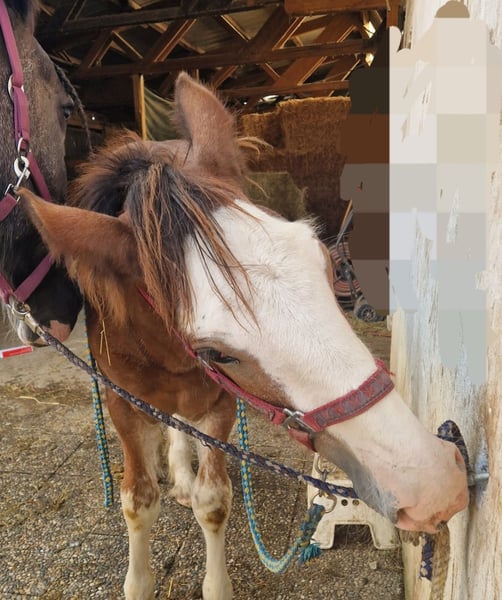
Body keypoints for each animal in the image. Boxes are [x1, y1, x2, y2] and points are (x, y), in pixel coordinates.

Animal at [20, 73, 469, 600]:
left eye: (323, 261)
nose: (433, 482)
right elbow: (137, 502)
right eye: (216, 353)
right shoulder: (123, 404)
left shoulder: (220, 405)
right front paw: (140, 579)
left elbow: (213, 499)